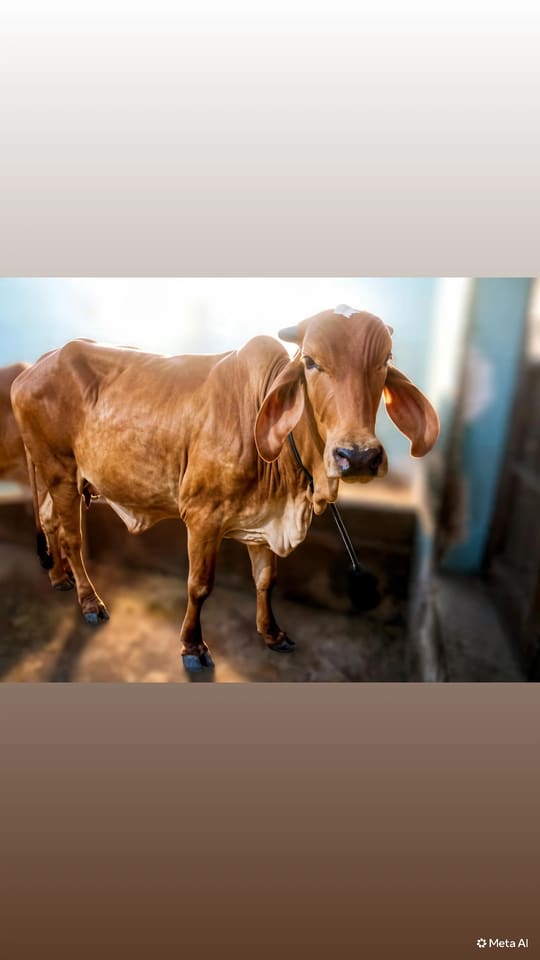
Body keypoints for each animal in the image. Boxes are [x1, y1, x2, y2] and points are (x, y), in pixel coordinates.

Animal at [11, 305, 439, 672]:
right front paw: (193, 646)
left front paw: (272, 633)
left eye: (385, 361)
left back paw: (59, 579)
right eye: (311, 362)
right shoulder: (202, 517)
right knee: (72, 539)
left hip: (52, 474)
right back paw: (89, 602)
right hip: (61, 470)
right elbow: (199, 586)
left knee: (48, 522)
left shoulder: (265, 521)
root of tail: (36, 365)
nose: (358, 455)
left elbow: (266, 580)